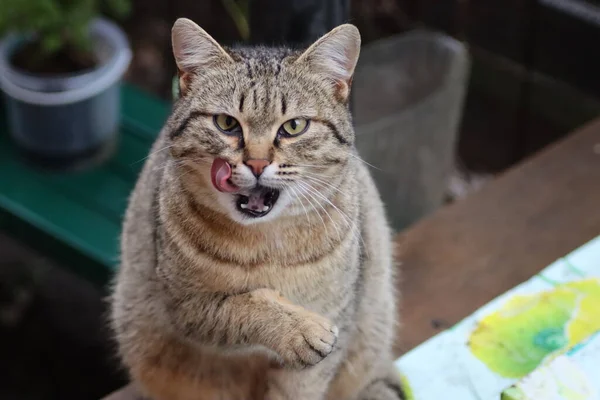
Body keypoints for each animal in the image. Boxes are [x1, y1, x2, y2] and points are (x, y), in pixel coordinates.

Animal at [110, 16, 406, 400]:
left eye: (294, 126)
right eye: (226, 123)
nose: (256, 162)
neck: (266, 244)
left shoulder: (336, 318)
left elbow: (298, 388)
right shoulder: (185, 305)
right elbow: (243, 304)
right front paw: (296, 327)